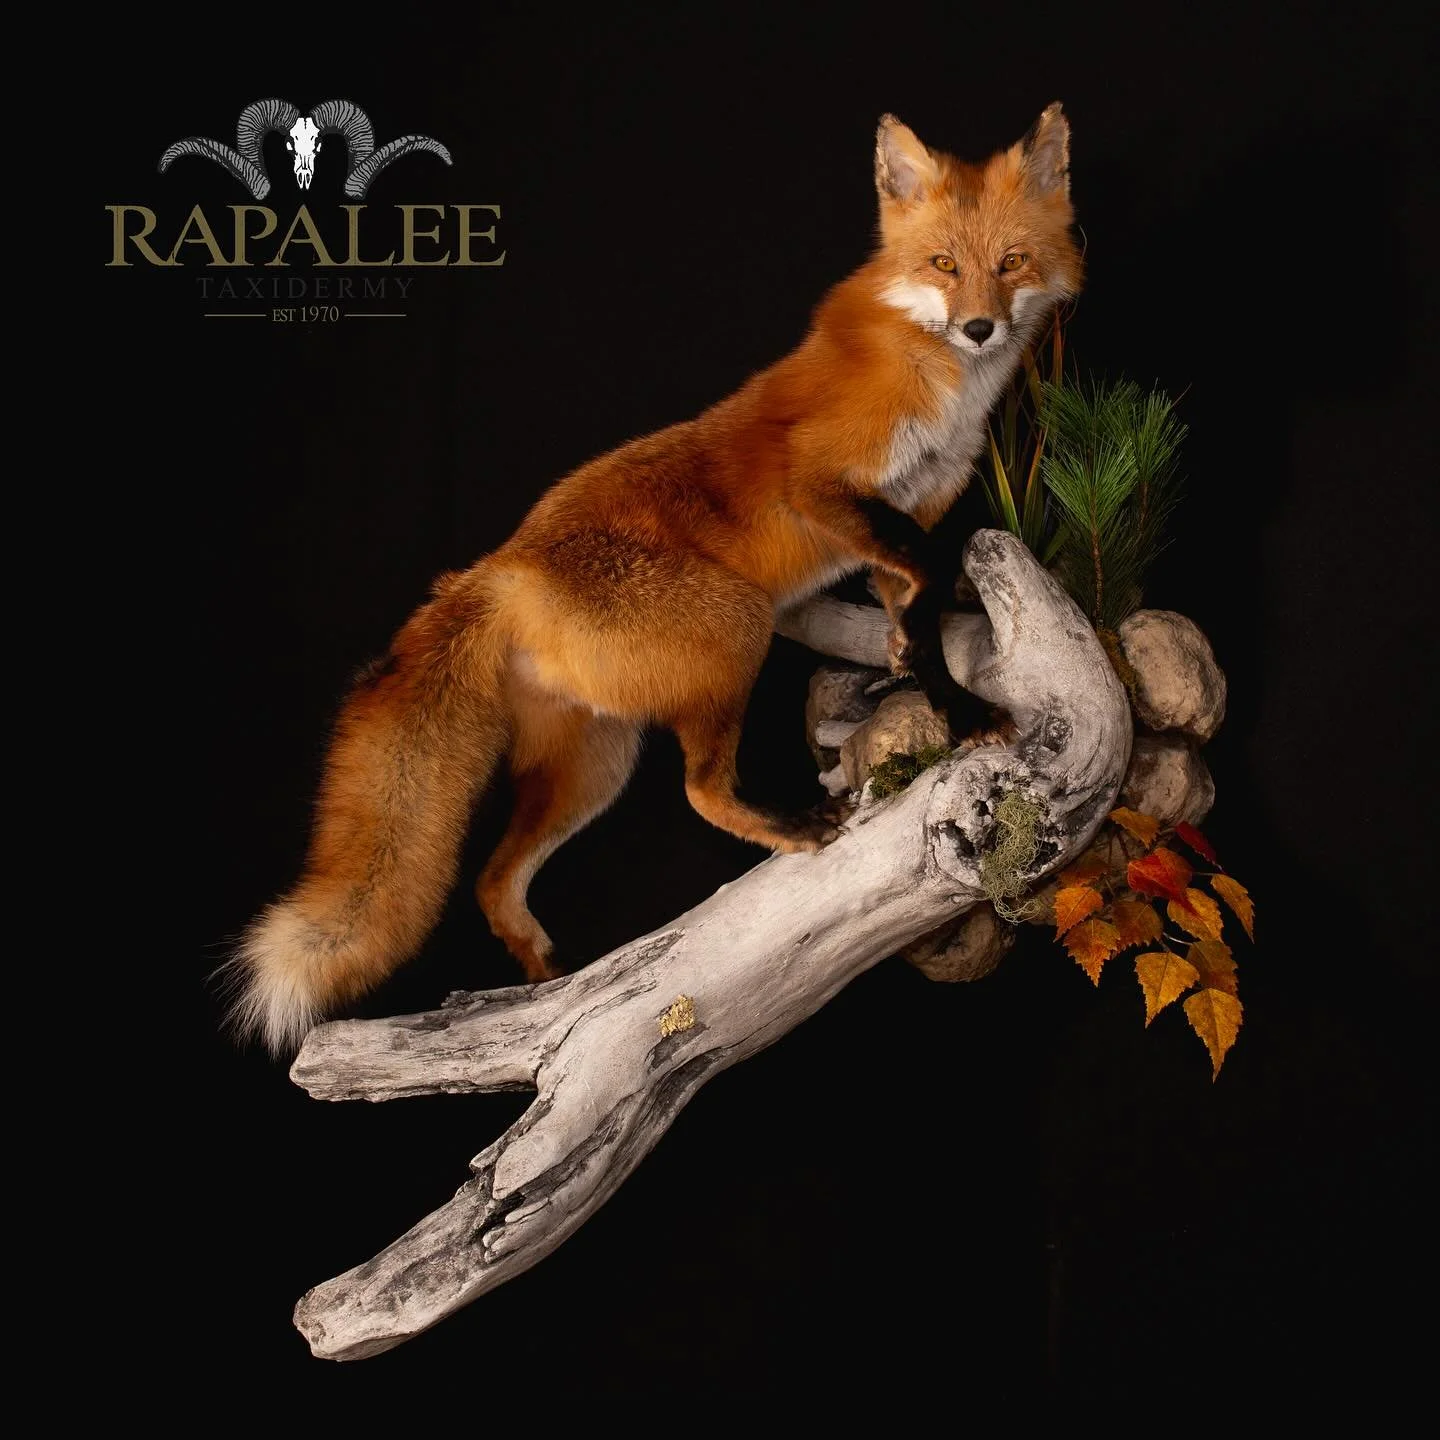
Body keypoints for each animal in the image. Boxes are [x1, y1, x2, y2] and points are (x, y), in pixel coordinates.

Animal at [228, 104, 1084, 1055]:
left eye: (1010, 263)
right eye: (943, 266)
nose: (979, 329)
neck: (938, 382)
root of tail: (502, 568)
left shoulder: (916, 507)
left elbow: (916, 600)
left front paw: (920, 673)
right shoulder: (822, 487)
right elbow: (928, 577)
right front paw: (959, 709)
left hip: (595, 765)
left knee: (492, 879)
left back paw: (538, 985)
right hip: (733, 632)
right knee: (700, 790)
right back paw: (785, 830)